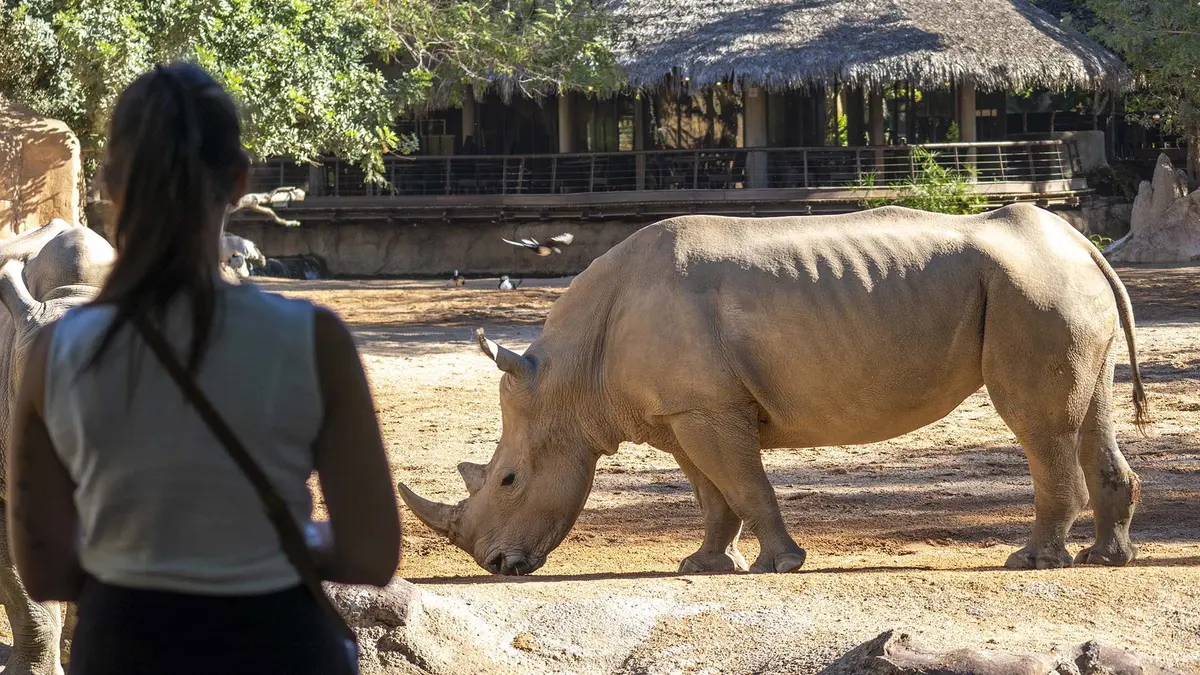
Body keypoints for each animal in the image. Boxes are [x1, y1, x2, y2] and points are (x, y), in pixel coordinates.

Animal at [399, 204, 1147, 577]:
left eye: (508, 480)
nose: (497, 564)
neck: (571, 377)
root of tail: (1081, 242)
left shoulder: (708, 409)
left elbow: (745, 485)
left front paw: (780, 565)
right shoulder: (683, 411)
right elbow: (712, 494)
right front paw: (702, 565)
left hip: (1031, 291)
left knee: (1038, 426)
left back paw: (1032, 561)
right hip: (1055, 289)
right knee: (1090, 415)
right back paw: (1105, 559)